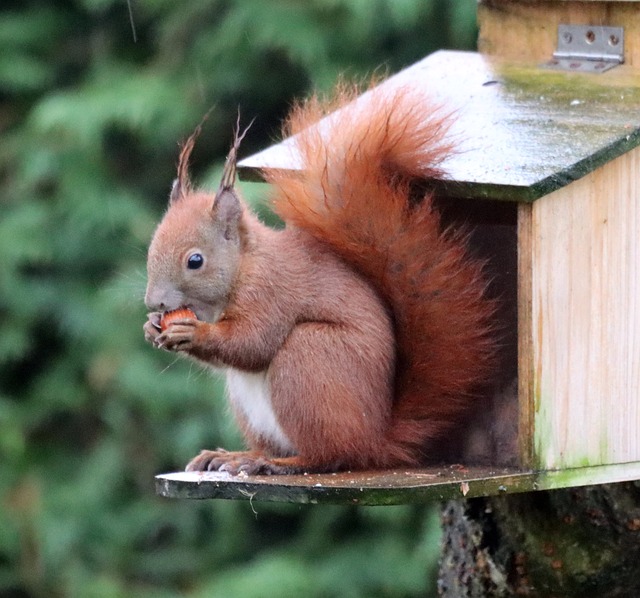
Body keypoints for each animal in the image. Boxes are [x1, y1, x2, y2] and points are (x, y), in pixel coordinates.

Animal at [142, 84, 498, 476]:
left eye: (195, 261)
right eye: (151, 249)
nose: (153, 302)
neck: (244, 266)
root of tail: (375, 439)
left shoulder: (270, 292)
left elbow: (252, 343)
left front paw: (193, 332)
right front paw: (152, 327)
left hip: (309, 359)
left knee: (328, 455)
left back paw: (277, 463)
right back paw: (234, 456)